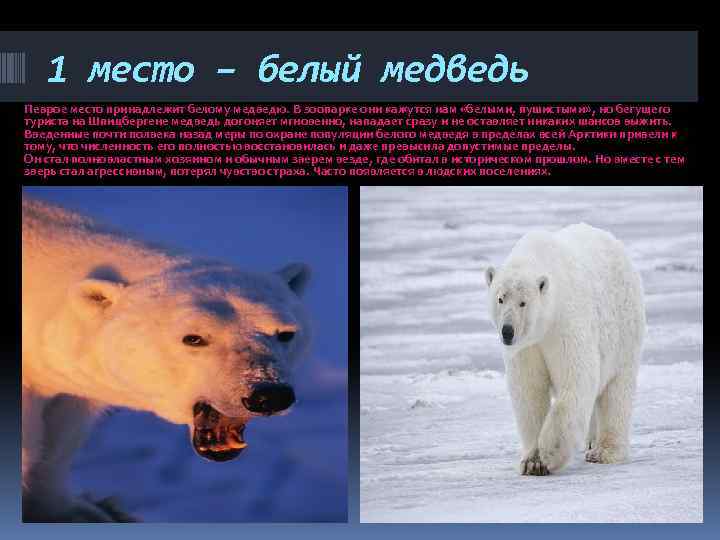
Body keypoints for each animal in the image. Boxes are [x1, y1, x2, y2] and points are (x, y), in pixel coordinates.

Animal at [484, 223, 645, 476]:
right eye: (500, 298)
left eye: (523, 302)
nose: (507, 331)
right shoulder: (527, 347)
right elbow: (529, 391)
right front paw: (532, 462)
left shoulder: (565, 323)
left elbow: (576, 379)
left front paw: (549, 454)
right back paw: (591, 441)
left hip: (624, 331)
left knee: (617, 390)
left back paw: (604, 451)